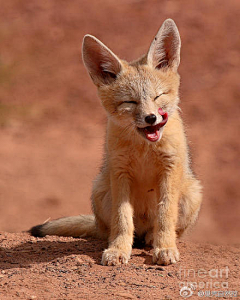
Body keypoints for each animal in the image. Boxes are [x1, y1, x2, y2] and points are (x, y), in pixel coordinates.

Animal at [30, 19, 202, 266]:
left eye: (158, 96)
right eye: (130, 102)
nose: (151, 118)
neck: (144, 150)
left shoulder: (170, 170)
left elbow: (165, 215)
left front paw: (165, 247)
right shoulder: (120, 173)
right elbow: (122, 219)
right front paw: (119, 249)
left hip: (192, 195)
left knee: (162, 229)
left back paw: (152, 238)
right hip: (100, 191)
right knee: (111, 230)